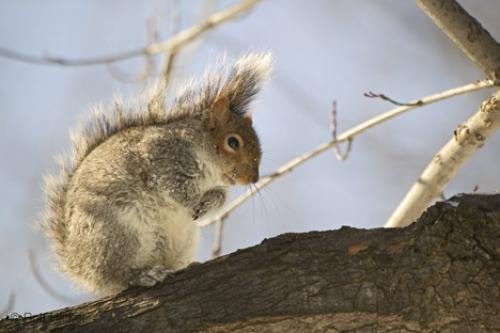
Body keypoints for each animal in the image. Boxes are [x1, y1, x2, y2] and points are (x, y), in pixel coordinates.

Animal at [41, 53, 272, 294]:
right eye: (233, 142)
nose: (253, 178)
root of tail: (78, 265)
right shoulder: (161, 157)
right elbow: (175, 188)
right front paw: (192, 202)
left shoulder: (216, 185)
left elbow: (219, 196)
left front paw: (208, 204)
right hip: (114, 233)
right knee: (117, 275)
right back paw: (143, 274)